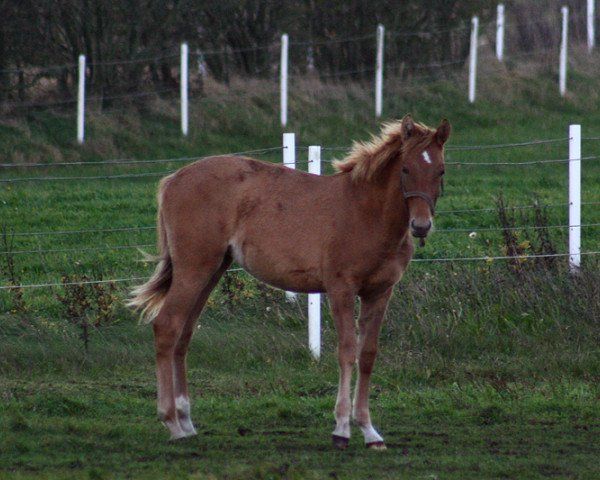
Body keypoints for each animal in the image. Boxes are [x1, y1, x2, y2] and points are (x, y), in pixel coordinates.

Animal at [130, 114, 450, 448]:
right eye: (406, 169)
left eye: (440, 170)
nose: (421, 226)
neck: (367, 213)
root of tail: (173, 179)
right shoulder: (341, 289)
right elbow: (347, 351)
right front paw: (341, 429)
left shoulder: (380, 292)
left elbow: (368, 355)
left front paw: (369, 431)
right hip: (194, 269)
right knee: (167, 326)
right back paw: (172, 422)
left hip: (211, 271)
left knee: (184, 334)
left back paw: (186, 420)